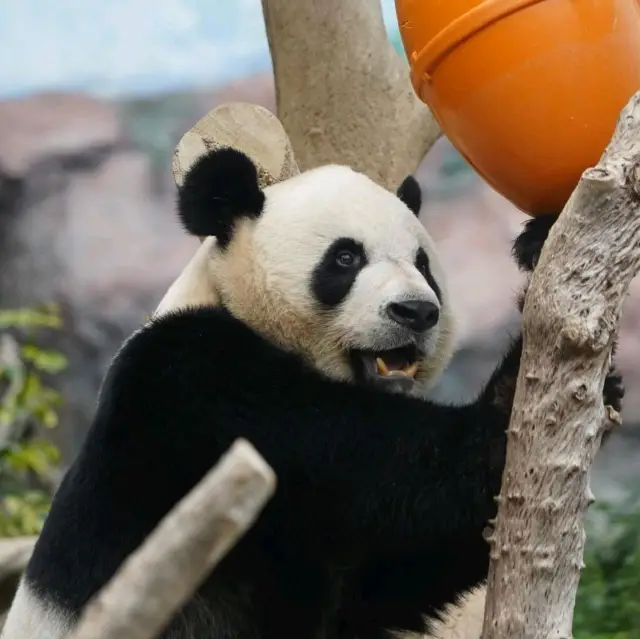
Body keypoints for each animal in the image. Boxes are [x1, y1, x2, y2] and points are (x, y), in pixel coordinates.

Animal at [0, 149, 620, 639]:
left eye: (423, 264)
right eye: (345, 258)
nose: (416, 311)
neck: (230, 301)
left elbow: (386, 581)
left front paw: (543, 245)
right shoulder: (194, 382)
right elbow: (373, 468)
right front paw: (504, 410)